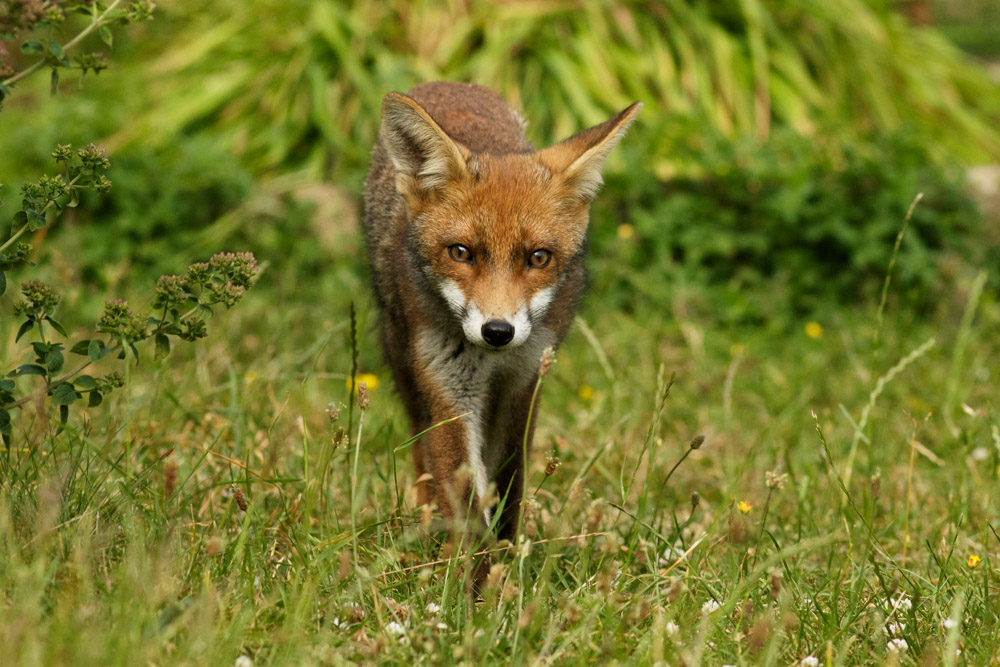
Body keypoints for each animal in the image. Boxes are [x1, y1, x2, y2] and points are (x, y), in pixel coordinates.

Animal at [363, 81, 640, 544]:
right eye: (461, 252)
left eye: (538, 257)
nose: (498, 331)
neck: (492, 361)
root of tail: (451, 84)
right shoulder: (447, 382)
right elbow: (463, 493)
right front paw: (474, 563)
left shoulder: (525, 379)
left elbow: (510, 479)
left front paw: (508, 551)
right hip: (403, 358)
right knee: (421, 446)